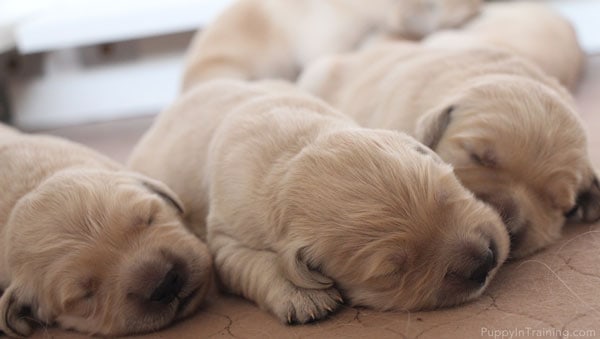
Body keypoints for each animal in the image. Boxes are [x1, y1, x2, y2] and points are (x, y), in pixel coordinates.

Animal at [129, 79, 508, 324]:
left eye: (447, 193)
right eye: (392, 271)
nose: (485, 262)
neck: (295, 146)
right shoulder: (224, 238)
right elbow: (254, 262)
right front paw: (302, 297)